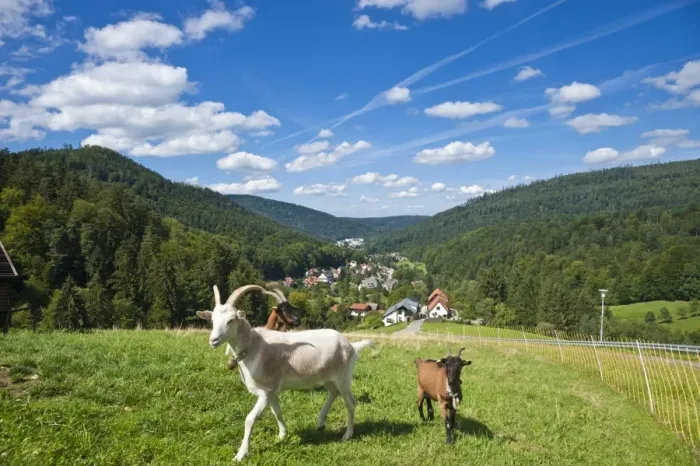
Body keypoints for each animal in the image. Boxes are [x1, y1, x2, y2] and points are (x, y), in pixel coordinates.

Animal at [197, 284, 372, 462]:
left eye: (231, 320)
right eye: (212, 320)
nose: (213, 340)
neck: (254, 346)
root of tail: (351, 345)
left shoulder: (265, 391)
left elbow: (250, 419)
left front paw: (241, 454)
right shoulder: (272, 391)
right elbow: (277, 412)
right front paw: (282, 435)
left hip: (344, 377)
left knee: (350, 402)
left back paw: (347, 434)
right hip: (328, 378)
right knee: (333, 393)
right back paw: (321, 422)